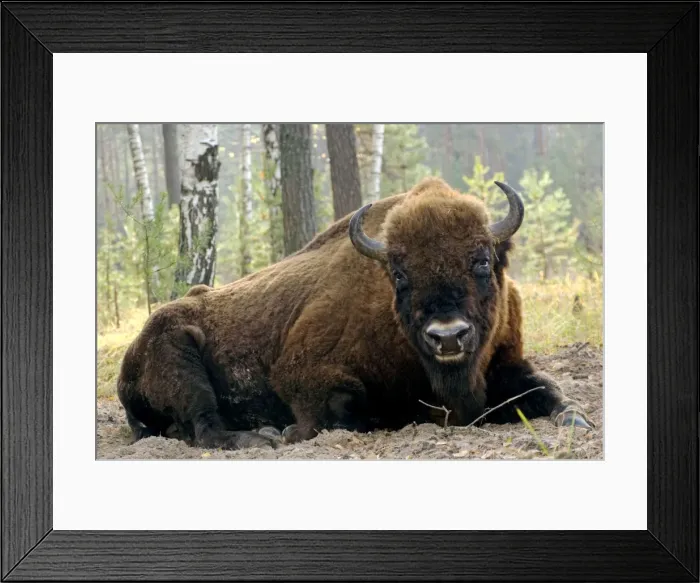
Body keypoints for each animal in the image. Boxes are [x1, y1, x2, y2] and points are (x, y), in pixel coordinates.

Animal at [117, 177, 591, 450]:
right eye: (399, 274)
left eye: (482, 260)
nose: (448, 336)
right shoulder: (303, 374)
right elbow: (345, 411)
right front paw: (289, 431)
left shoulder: (507, 363)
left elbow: (548, 389)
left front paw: (577, 419)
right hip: (178, 351)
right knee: (204, 424)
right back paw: (260, 437)